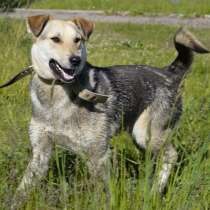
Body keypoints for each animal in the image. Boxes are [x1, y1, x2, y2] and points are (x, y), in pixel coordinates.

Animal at [4, 14, 208, 208]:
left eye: (78, 40)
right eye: (55, 39)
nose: (75, 60)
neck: (57, 94)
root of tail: (168, 73)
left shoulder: (98, 155)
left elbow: (104, 193)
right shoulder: (41, 154)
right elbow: (22, 190)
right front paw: (12, 204)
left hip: (146, 134)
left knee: (172, 155)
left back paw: (154, 192)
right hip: (141, 138)